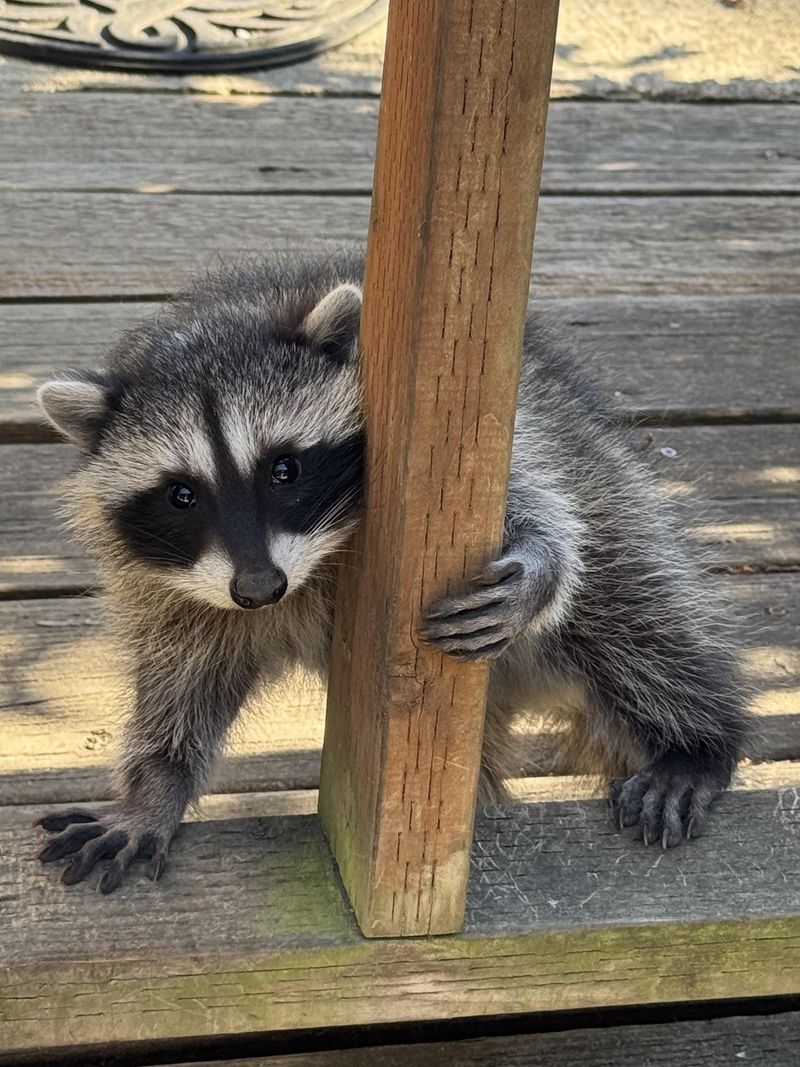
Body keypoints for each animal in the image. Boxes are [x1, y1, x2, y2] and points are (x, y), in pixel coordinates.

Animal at [35, 248, 747, 893]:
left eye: (284, 468)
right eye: (182, 495)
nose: (260, 589)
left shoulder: (470, 438)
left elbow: (528, 496)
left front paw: (538, 555)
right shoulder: (176, 586)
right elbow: (179, 678)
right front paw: (156, 785)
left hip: (599, 470)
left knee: (632, 604)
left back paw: (696, 741)